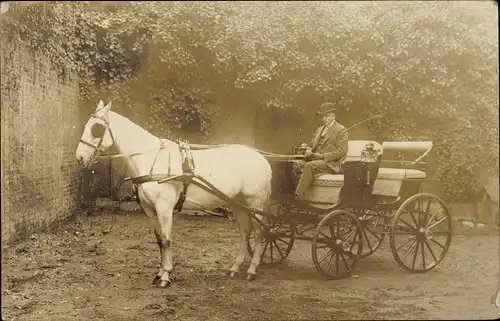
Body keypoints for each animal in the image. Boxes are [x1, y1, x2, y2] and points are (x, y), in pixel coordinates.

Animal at [76, 99, 274, 284]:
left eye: (97, 128)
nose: (79, 158)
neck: (151, 158)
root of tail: (262, 158)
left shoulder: (164, 207)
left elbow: (166, 239)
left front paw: (166, 275)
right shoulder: (149, 209)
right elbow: (159, 240)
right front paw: (159, 273)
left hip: (254, 202)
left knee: (259, 233)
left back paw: (252, 269)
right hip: (238, 203)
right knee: (245, 233)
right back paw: (235, 267)